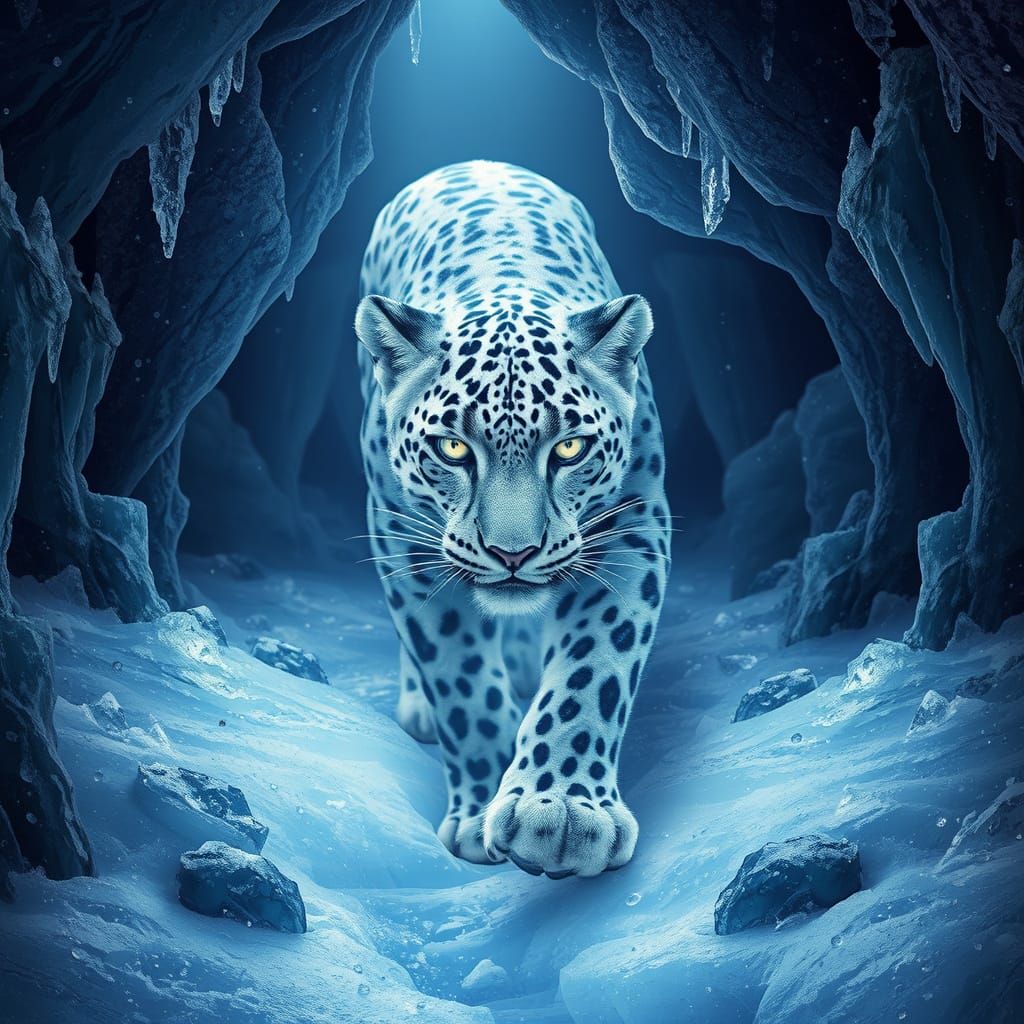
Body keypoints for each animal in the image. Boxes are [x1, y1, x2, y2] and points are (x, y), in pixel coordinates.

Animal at [355, 160, 670, 879]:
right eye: (452, 448)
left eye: (570, 449)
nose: (513, 555)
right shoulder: (401, 535)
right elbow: (459, 677)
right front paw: (485, 809)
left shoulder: (633, 527)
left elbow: (594, 665)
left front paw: (561, 809)